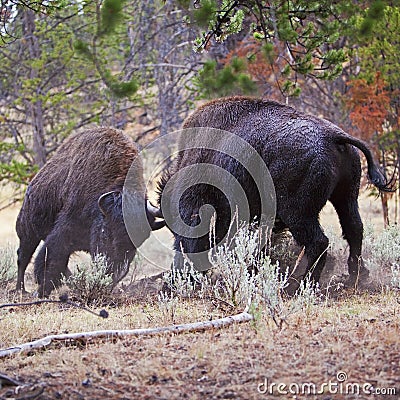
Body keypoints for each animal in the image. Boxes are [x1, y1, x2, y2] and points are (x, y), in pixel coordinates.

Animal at [15, 128, 162, 296]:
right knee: (23, 257)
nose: (115, 272)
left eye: (138, 241)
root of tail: (31, 186)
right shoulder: (63, 231)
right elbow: (51, 261)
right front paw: (41, 292)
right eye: (106, 232)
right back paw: (21, 289)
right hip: (28, 233)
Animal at [158, 96, 392, 284]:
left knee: (319, 242)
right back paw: (356, 276)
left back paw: (301, 284)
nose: (176, 277)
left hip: (298, 213)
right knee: (354, 229)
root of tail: (332, 135)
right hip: (346, 197)